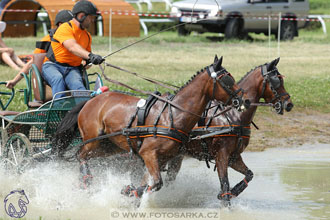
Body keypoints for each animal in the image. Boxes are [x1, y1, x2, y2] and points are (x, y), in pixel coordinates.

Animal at [53, 55, 250, 198]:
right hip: (92, 140)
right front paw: (130, 191)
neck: (173, 114)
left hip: (108, 146)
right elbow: (156, 183)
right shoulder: (148, 154)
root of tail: (91, 100)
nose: (243, 100)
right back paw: (86, 179)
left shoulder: (160, 159)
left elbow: (150, 183)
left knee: (84, 156)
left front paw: (131, 191)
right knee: (80, 155)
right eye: (227, 80)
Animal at [163, 57, 294, 206]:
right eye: (276, 81)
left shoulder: (234, 157)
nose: (289, 104)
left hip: (177, 156)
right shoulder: (222, 155)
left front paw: (233, 191)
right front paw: (226, 198)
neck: (233, 115)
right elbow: (225, 184)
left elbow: (249, 174)